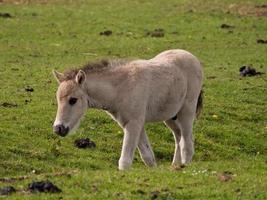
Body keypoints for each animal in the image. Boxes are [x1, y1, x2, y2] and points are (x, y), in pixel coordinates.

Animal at [53, 49, 204, 170]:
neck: (120, 88)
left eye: (73, 100)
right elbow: (148, 156)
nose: (58, 128)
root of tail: (193, 57)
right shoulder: (134, 123)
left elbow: (125, 161)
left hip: (187, 111)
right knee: (179, 137)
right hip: (170, 116)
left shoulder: (133, 123)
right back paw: (176, 166)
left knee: (187, 144)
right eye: (58, 99)